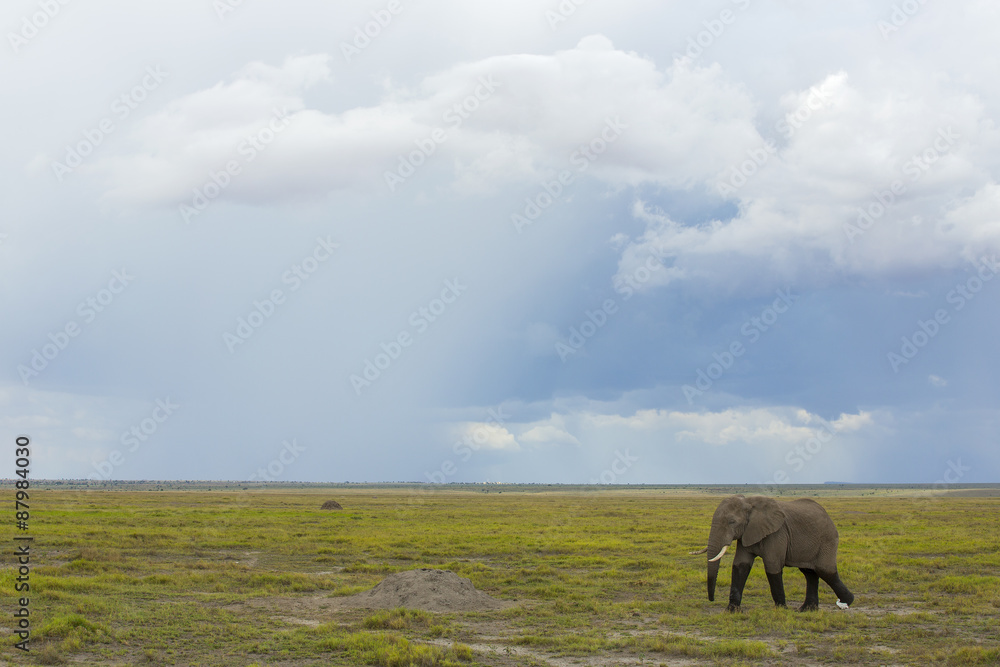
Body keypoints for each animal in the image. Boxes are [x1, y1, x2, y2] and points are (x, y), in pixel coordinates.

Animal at [690, 495, 854, 612]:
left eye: (732, 522)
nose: (712, 599)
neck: (749, 502)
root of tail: (829, 517)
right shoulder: (746, 534)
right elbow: (740, 565)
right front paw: (732, 610)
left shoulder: (777, 534)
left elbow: (772, 566)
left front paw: (781, 609)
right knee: (809, 573)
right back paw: (806, 609)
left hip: (827, 540)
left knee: (824, 571)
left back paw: (846, 602)